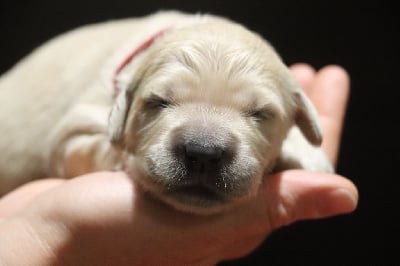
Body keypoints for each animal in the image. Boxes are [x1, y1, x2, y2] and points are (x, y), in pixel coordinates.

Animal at [0, 10, 332, 214]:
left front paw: (307, 153)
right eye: (158, 102)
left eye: (260, 113)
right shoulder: (69, 136)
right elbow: (93, 148)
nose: (204, 153)